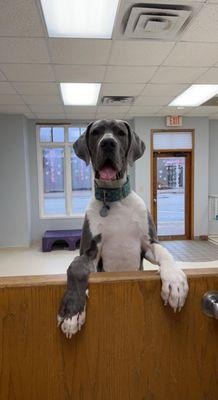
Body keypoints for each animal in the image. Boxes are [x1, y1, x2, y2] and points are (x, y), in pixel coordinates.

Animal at [58, 118, 189, 338]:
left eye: (120, 133)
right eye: (96, 132)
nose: (108, 143)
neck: (113, 199)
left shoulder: (148, 245)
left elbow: (165, 253)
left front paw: (174, 280)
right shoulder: (89, 253)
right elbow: (75, 270)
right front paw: (71, 313)